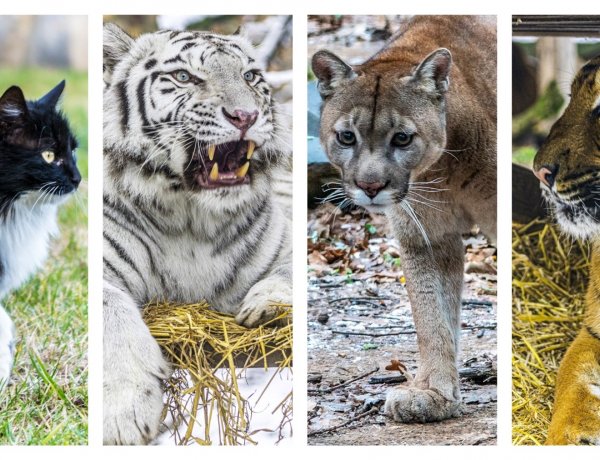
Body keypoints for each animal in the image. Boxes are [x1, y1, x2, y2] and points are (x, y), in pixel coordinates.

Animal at [101, 23, 292, 444]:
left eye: (249, 76)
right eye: (184, 77)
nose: (246, 115)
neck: (193, 219)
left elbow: (289, 274)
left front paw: (267, 307)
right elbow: (111, 309)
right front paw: (123, 416)